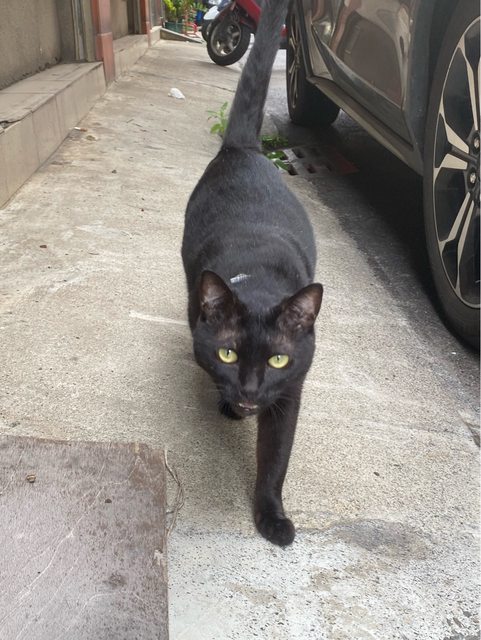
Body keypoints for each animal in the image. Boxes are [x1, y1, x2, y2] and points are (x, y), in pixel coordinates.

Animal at [181, 0, 323, 546]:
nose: (248, 391)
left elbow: (276, 459)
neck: (259, 278)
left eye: (279, 361)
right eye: (228, 353)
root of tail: (245, 149)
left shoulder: (290, 393)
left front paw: (272, 518)